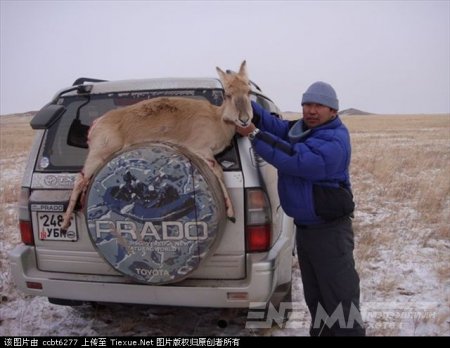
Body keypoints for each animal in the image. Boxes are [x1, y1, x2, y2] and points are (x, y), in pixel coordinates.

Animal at [62, 61, 253, 230]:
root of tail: (97, 123)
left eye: (249, 91)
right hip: (98, 154)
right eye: (228, 94)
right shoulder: (202, 150)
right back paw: (64, 224)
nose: (245, 119)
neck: (217, 119)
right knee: (80, 179)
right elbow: (219, 172)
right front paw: (231, 213)